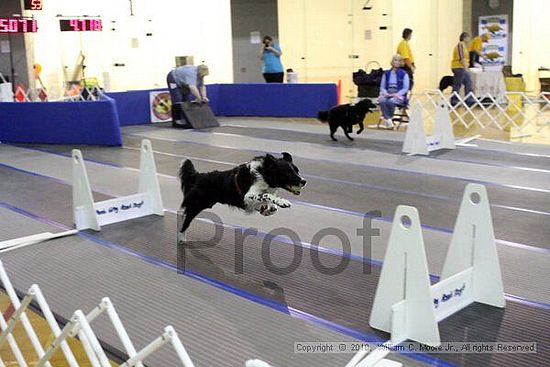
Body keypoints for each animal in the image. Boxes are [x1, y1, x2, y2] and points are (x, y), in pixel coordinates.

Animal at [178, 153, 306, 243]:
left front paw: (268, 209)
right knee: (184, 218)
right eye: (288, 173)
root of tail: (199, 176)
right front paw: (282, 202)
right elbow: (266, 195)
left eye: (297, 170)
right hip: (197, 204)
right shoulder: (247, 196)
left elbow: (268, 202)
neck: (264, 173)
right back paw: (181, 238)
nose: (304, 181)